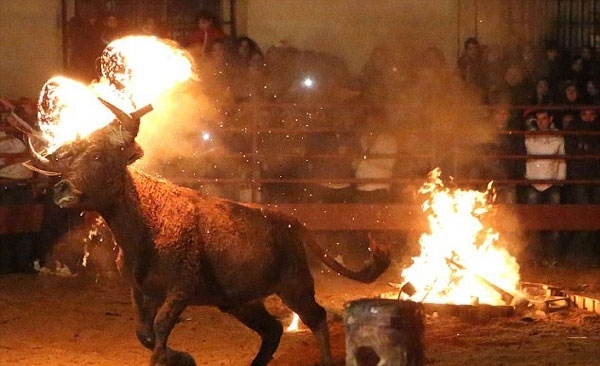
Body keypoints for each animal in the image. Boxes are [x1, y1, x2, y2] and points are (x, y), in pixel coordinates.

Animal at [25, 98, 392, 366]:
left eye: (100, 156)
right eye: (68, 162)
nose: (60, 189)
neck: (148, 223)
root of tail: (290, 221)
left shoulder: (181, 289)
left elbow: (160, 329)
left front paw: (175, 357)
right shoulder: (141, 291)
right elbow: (145, 332)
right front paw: (181, 357)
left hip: (295, 285)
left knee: (316, 317)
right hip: (240, 302)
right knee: (273, 330)